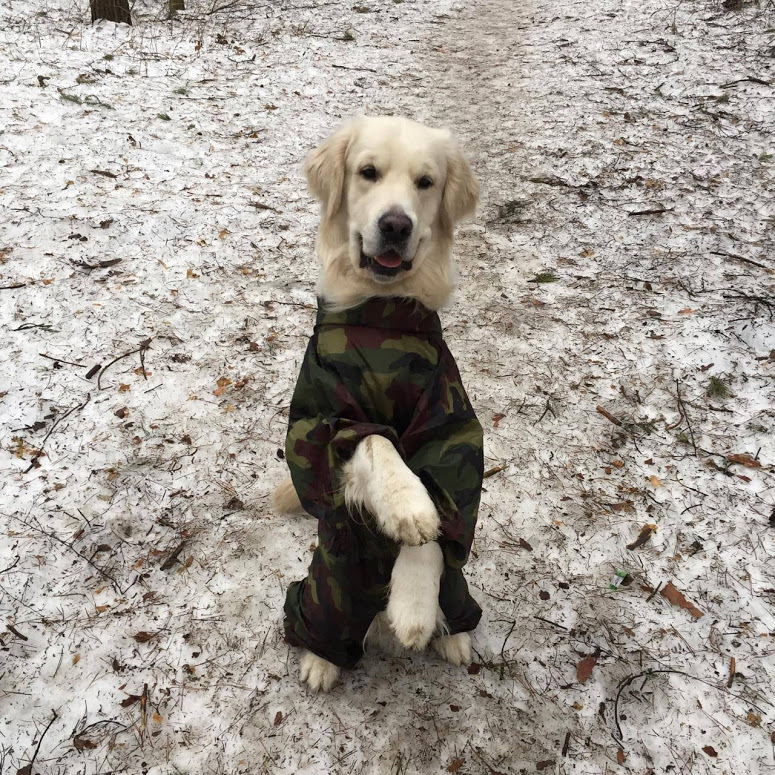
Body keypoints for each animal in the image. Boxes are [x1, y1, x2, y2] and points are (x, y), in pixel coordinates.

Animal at [272, 115, 478, 692]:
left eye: (425, 183)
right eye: (368, 172)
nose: (395, 225)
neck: (382, 319)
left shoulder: (449, 422)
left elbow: (442, 512)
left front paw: (412, 609)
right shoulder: (320, 422)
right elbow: (373, 444)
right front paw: (407, 505)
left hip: (460, 588)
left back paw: (454, 637)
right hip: (324, 592)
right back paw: (320, 661)